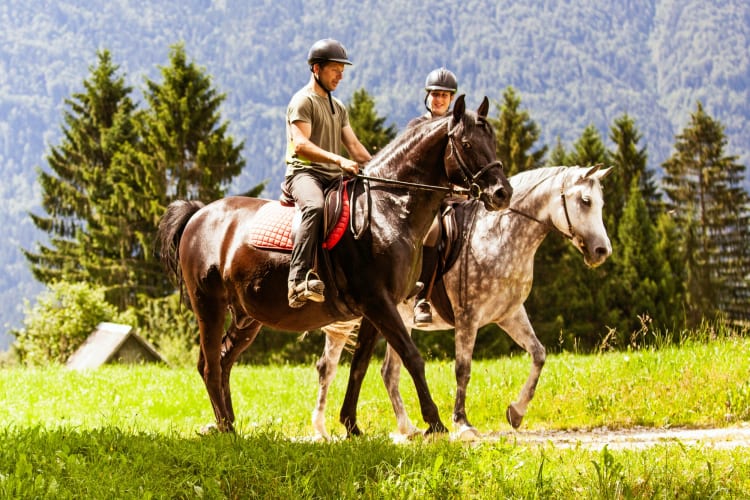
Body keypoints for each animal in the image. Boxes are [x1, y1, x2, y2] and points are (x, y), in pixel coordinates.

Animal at [157, 94, 512, 434]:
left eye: (493, 141)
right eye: (467, 144)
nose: (502, 193)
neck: (389, 208)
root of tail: (199, 214)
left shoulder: (376, 309)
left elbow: (359, 365)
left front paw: (351, 425)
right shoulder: (378, 301)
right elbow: (412, 357)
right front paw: (434, 423)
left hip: (246, 317)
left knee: (225, 360)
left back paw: (227, 423)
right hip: (209, 306)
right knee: (210, 365)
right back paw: (226, 428)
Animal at [314, 164, 612, 438]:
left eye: (601, 203)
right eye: (585, 201)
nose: (602, 251)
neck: (498, 234)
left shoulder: (510, 314)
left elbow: (539, 354)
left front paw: (516, 412)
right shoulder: (468, 316)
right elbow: (463, 369)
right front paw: (462, 422)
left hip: (395, 319)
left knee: (388, 372)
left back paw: (407, 428)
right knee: (328, 368)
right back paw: (321, 429)